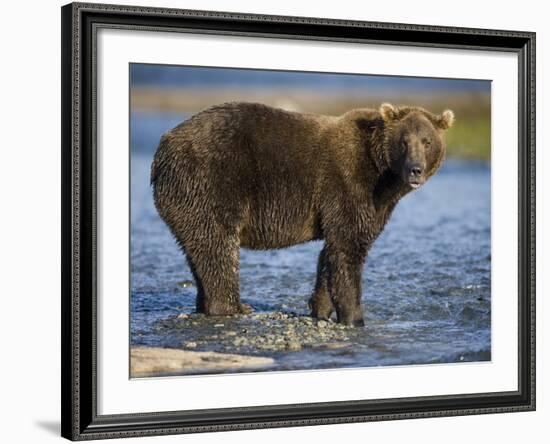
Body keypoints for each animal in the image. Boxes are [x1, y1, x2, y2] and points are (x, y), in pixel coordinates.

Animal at [149, 101, 454, 326]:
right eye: (404, 141)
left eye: (427, 141)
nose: (415, 170)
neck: (384, 177)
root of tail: (163, 146)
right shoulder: (348, 185)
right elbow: (348, 250)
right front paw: (355, 317)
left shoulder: (366, 204)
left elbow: (331, 255)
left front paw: (320, 307)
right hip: (210, 181)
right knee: (218, 247)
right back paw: (235, 306)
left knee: (198, 249)